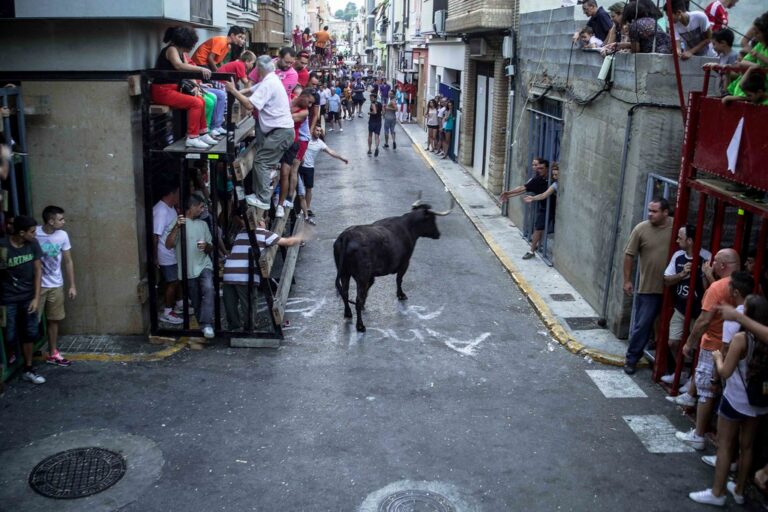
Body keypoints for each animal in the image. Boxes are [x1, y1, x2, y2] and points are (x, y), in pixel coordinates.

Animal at [332, 196, 452, 332]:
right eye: (432, 219)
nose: (438, 234)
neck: (408, 226)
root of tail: (346, 236)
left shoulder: (370, 275)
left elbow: (369, 287)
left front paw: (364, 305)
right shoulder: (405, 262)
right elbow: (399, 279)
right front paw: (401, 295)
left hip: (344, 273)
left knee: (345, 293)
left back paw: (348, 313)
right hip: (361, 276)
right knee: (357, 299)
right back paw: (360, 325)